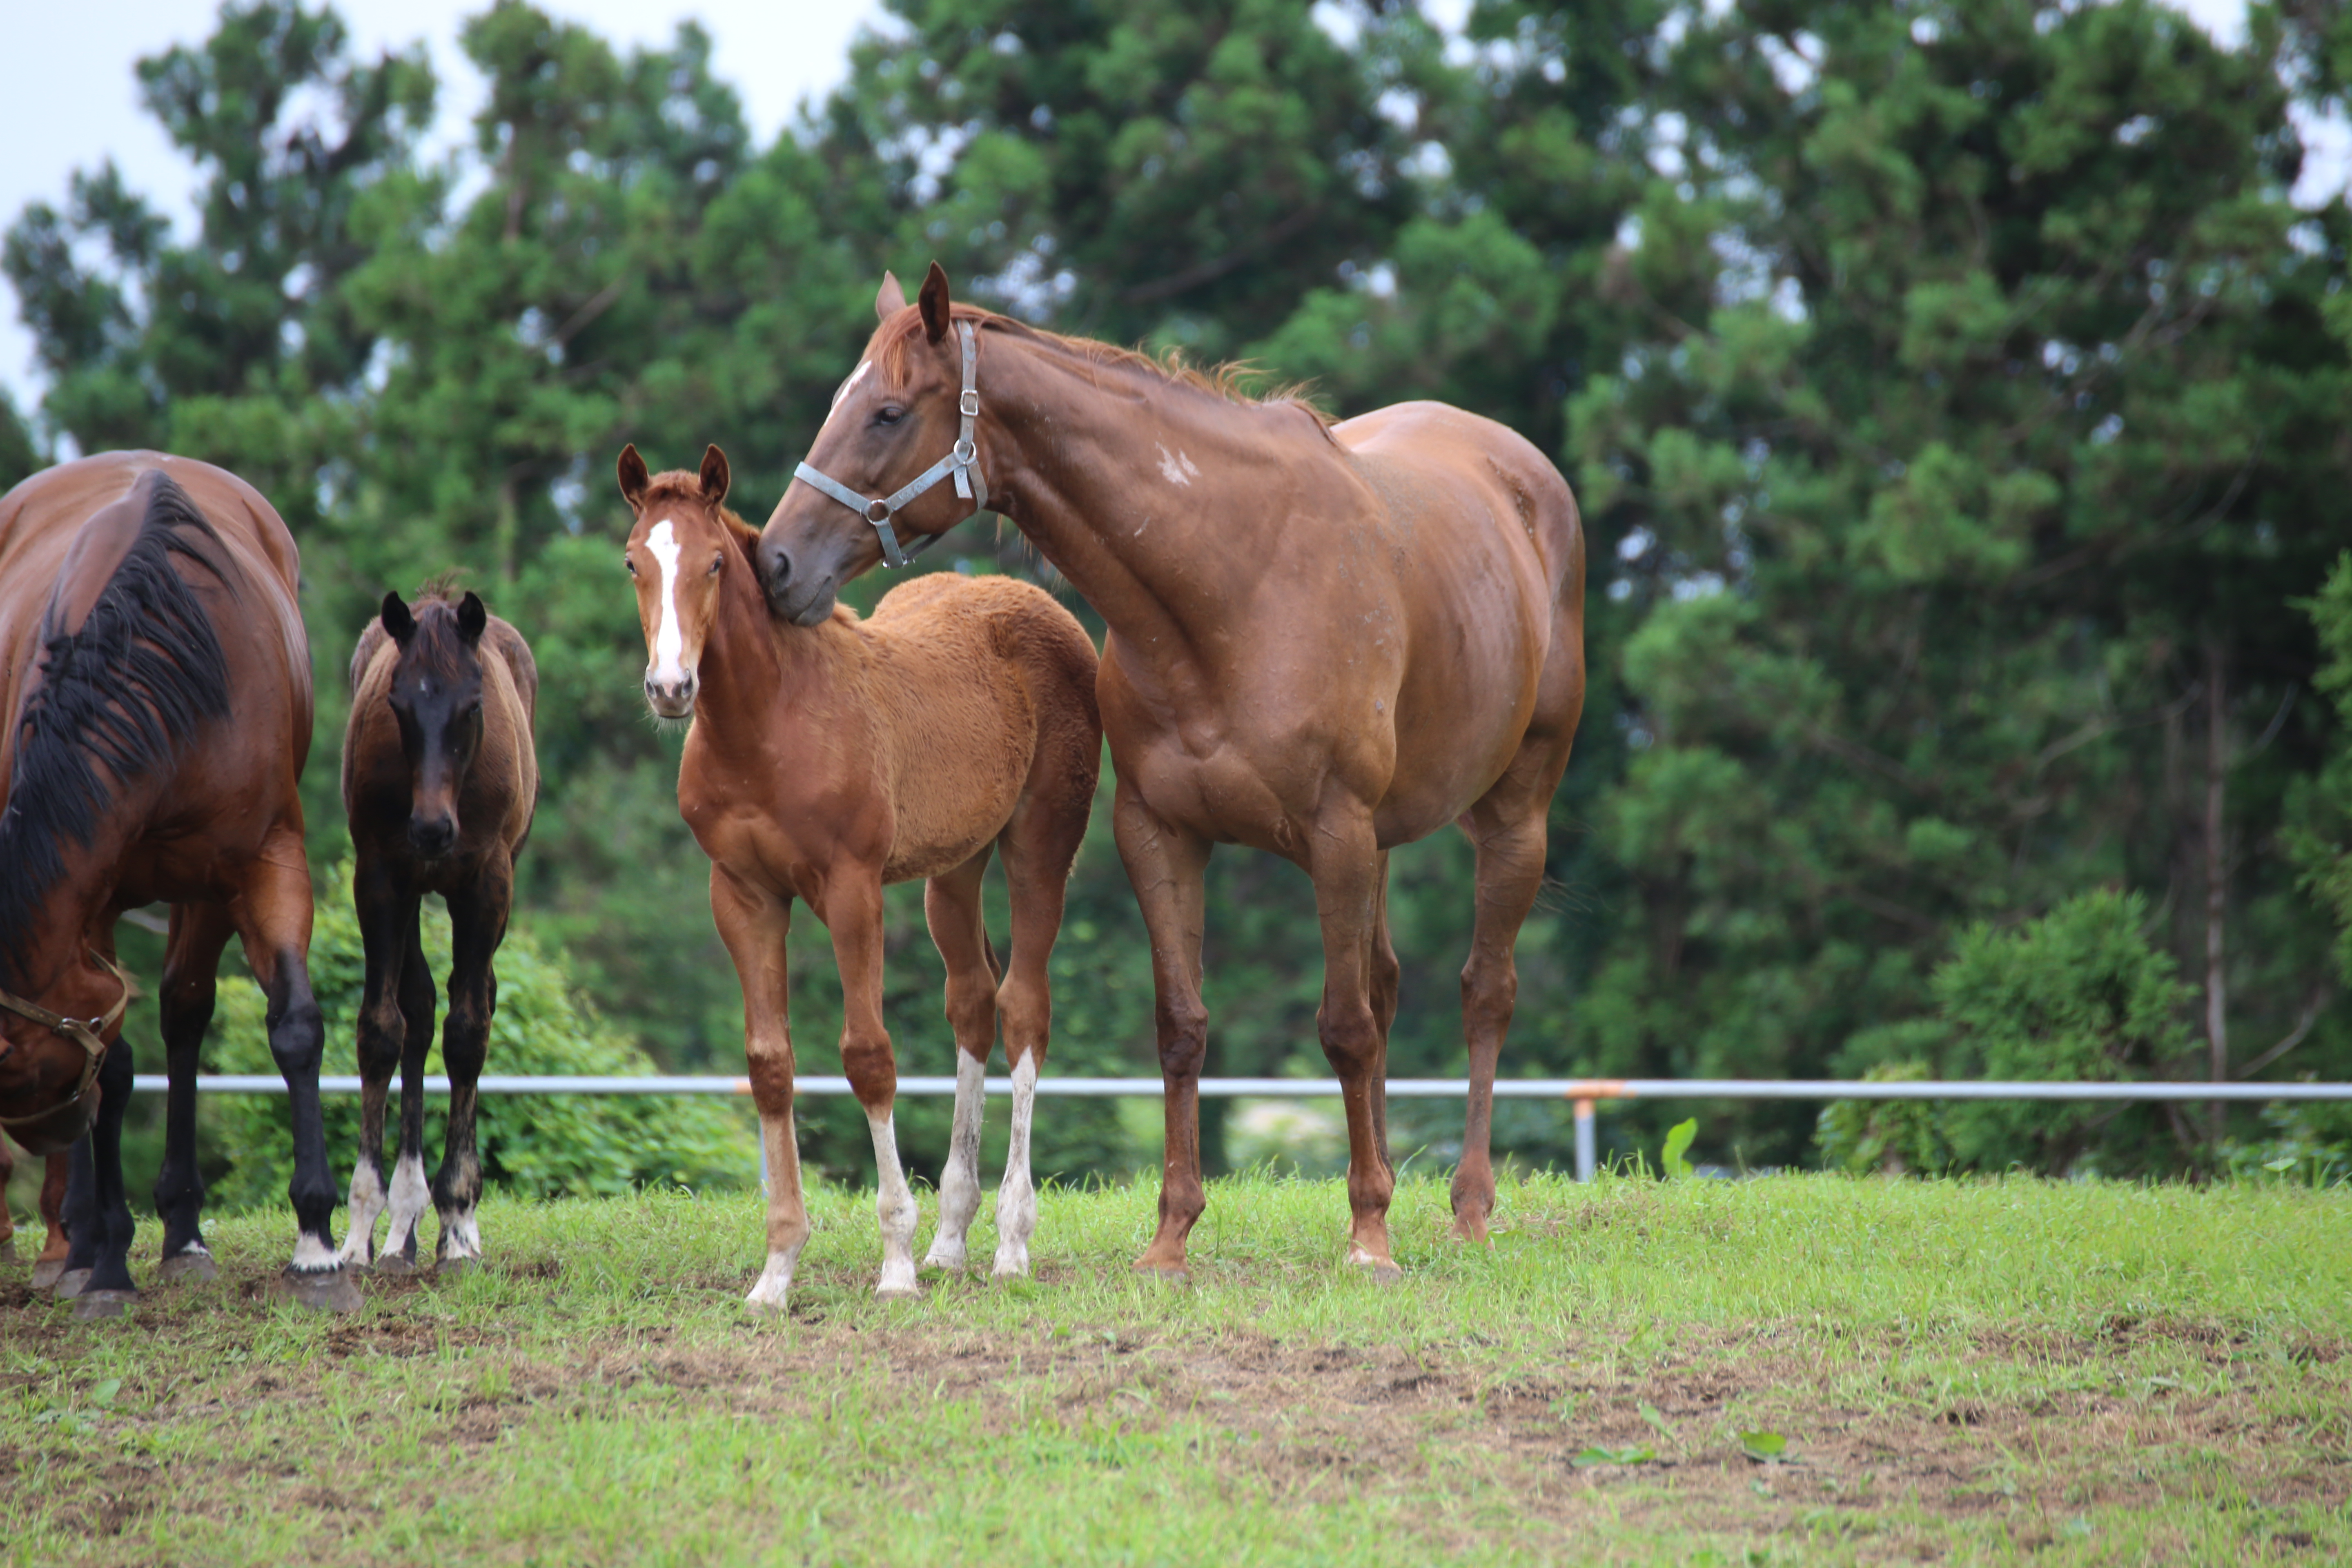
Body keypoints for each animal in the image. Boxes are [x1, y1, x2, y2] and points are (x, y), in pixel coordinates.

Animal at [0, 451, 350, 1316]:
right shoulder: (90, 896)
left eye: (19, 1068)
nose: (48, 1130)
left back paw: (176, 1232)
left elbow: (295, 1026)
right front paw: (105, 1261)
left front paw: (317, 1247)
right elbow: (120, 1058)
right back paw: (83, 1246)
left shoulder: (261, 863)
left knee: (185, 1013)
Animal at [336, 588, 539, 1278]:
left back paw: (448, 1221)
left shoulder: (487, 884)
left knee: (465, 1006)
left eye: (472, 706)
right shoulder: (380, 878)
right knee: (418, 1012)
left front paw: (457, 1217)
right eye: (397, 705)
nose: (430, 830)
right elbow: (382, 1029)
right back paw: (402, 1225)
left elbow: (469, 1032)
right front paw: (360, 1229)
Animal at [611, 444, 1096, 1316]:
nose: (670, 690)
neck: (768, 725)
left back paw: (1010, 1241)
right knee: (973, 1002)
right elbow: (769, 1065)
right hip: (954, 867)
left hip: (1041, 844)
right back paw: (953, 1238)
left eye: (711, 564)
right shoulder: (741, 894)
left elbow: (869, 1055)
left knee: (1024, 1009)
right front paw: (776, 1270)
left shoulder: (850, 887)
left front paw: (894, 1261)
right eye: (635, 562)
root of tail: (1030, 598)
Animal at [762, 267, 1590, 1278]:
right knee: (1390, 984)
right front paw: (1172, 1236)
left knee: (1484, 992)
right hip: (1389, 839)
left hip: (1515, 814)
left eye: (885, 412)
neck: (1235, 586)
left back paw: (1466, 1205)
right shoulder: (1160, 834)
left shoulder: (1336, 832)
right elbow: (1183, 1027)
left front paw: (1368, 1235)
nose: (776, 563)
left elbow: (1344, 1028)